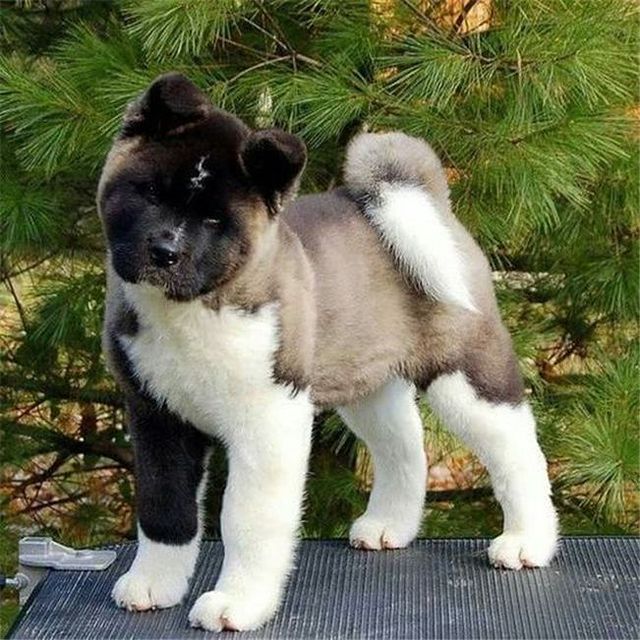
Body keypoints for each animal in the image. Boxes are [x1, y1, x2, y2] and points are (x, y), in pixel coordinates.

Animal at [97, 72, 556, 632]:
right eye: (149, 193)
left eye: (213, 221)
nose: (165, 252)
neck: (193, 310)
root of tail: (430, 201)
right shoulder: (156, 415)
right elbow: (164, 509)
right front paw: (153, 583)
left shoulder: (269, 419)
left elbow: (247, 520)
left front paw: (238, 603)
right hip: (365, 384)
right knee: (405, 447)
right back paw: (388, 526)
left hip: (465, 374)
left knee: (515, 449)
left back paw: (528, 541)